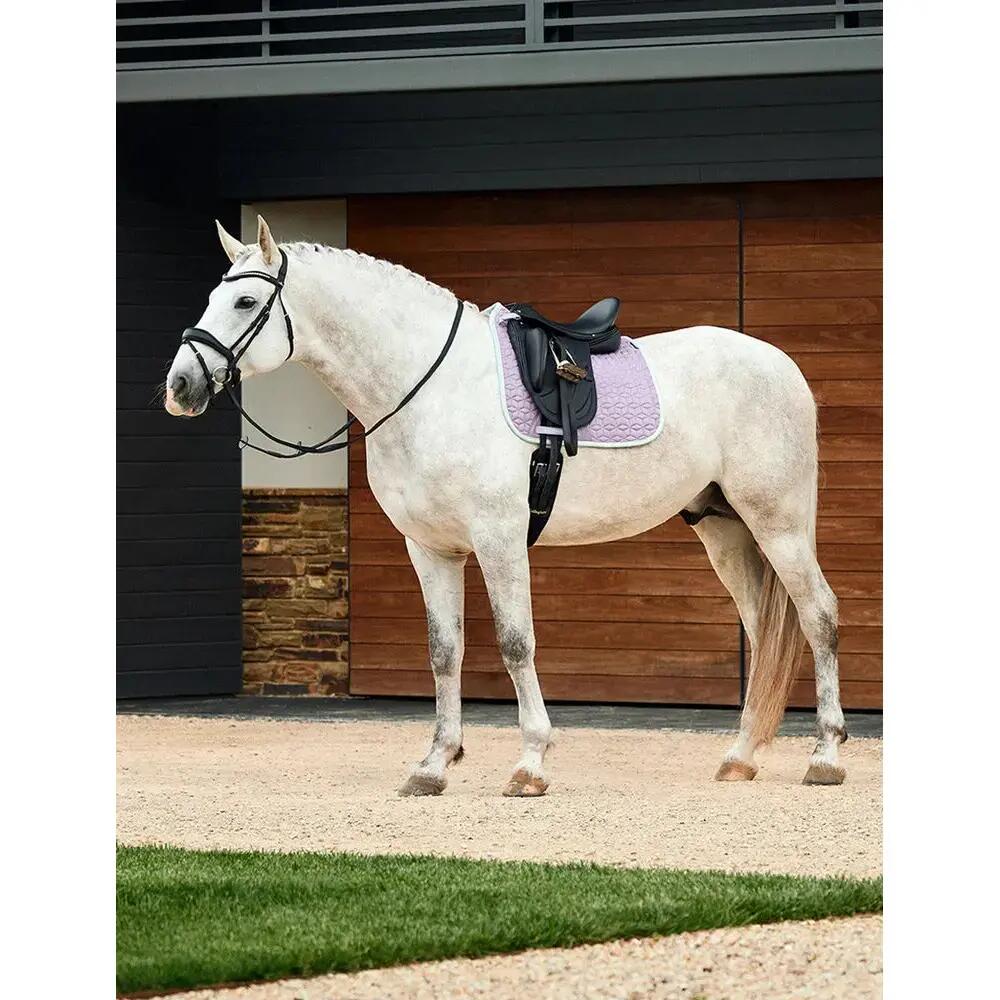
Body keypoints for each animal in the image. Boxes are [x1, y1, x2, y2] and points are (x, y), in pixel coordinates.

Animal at [164, 215, 847, 797]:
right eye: (212, 298)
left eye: (244, 303)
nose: (180, 386)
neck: (429, 387)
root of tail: (780, 365)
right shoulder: (431, 550)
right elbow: (444, 651)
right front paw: (434, 765)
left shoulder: (498, 539)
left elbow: (517, 643)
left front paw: (530, 764)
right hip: (725, 531)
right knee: (763, 630)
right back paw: (740, 757)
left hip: (779, 525)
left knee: (818, 615)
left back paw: (827, 756)